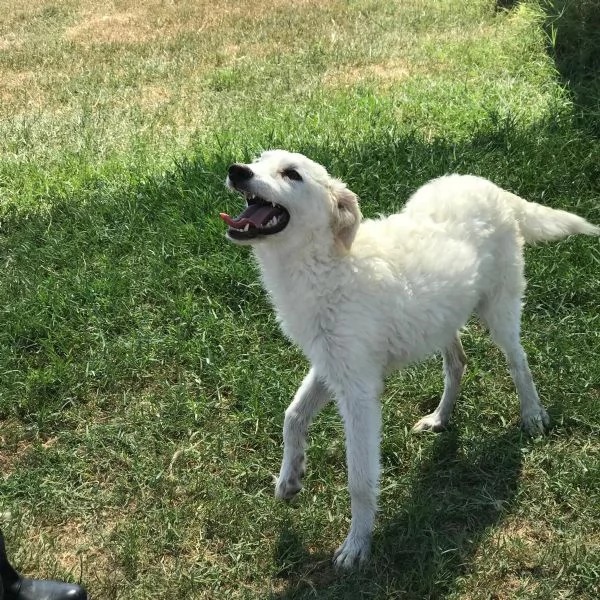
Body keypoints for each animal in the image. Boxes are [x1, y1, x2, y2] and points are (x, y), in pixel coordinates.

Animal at [219, 150, 596, 568]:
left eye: (291, 174)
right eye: (258, 161)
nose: (237, 171)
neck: (328, 263)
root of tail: (491, 187)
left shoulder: (359, 392)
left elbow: (360, 479)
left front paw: (357, 545)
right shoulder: (331, 366)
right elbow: (292, 416)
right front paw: (289, 479)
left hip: (499, 312)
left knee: (519, 363)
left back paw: (532, 415)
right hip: (442, 319)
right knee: (458, 362)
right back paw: (440, 417)